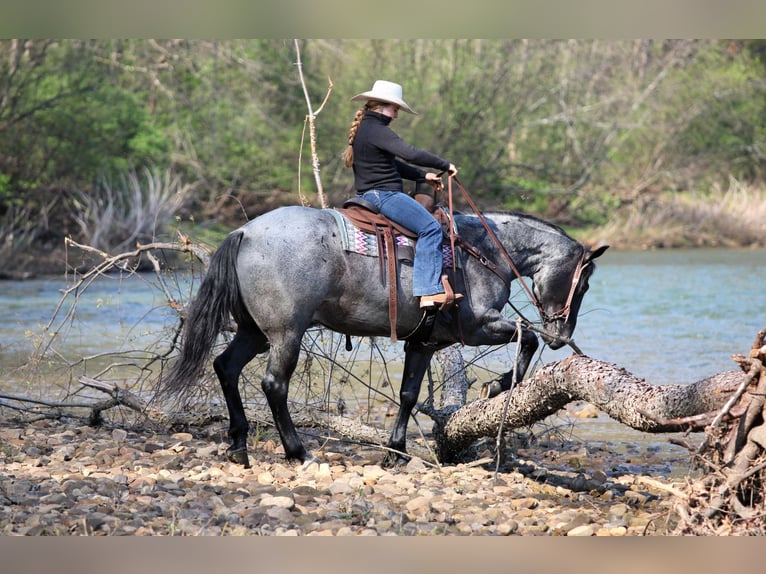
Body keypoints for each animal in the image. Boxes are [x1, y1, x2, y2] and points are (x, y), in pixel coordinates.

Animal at [160, 204, 607, 468]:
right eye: (584, 284)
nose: (561, 335)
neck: (482, 251)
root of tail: (246, 233)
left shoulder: (424, 343)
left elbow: (408, 394)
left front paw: (396, 451)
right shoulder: (478, 326)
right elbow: (526, 337)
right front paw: (500, 384)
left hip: (255, 332)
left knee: (225, 367)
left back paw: (238, 445)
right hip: (286, 333)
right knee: (274, 385)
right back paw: (298, 451)